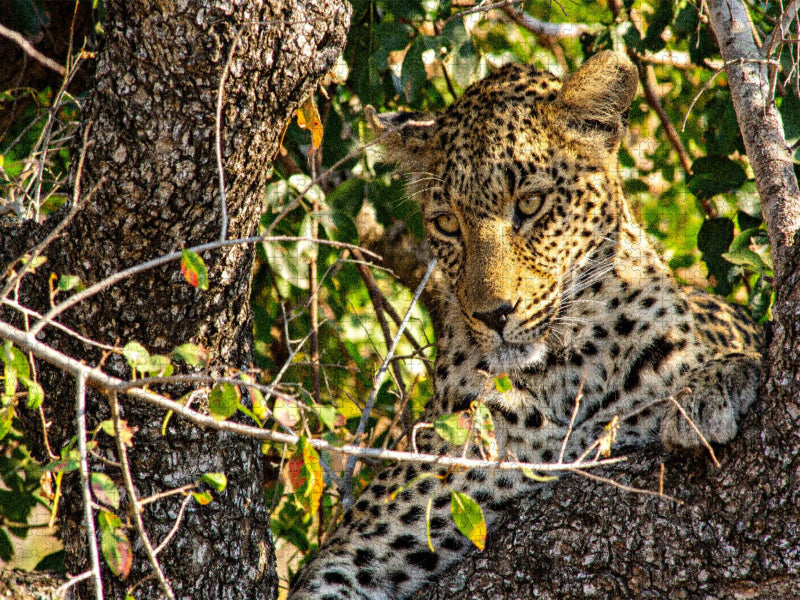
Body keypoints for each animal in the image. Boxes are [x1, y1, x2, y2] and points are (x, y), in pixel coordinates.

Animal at [288, 51, 762, 600]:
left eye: (530, 205)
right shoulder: (358, 548)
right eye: (447, 223)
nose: (493, 313)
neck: (564, 372)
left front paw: (709, 388)